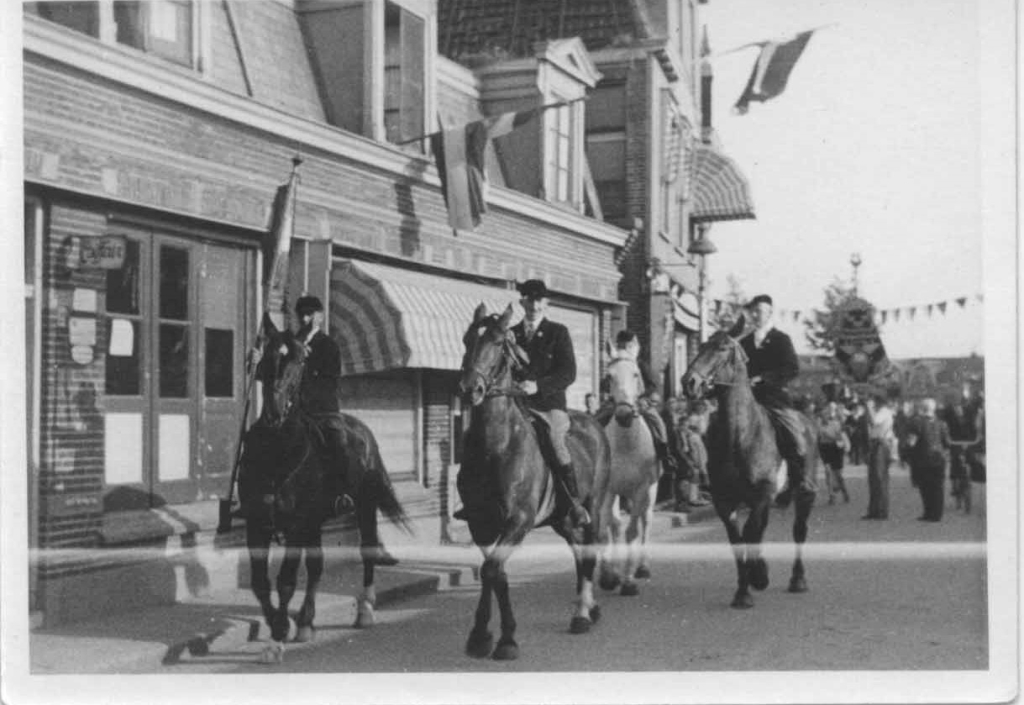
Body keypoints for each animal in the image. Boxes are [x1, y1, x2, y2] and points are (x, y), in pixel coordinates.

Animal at [238, 317, 411, 664]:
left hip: (363, 506)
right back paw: (306, 622)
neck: (277, 451)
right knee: (316, 567)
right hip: (314, 522)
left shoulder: (294, 526)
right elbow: (261, 583)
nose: (274, 412)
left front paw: (277, 637)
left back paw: (365, 609)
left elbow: (286, 581)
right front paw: (280, 627)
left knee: (367, 550)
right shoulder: (257, 525)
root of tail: (362, 429)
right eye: (266, 360)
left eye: (299, 362)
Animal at [460, 303, 610, 659]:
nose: (470, 389)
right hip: (561, 518)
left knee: (589, 552)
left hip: (593, 507)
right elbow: (493, 572)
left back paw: (582, 614)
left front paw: (505, 639)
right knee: (578, 550)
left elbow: (492, 570)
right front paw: (482, 635)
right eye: (466, 340)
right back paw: (589, 607)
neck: (495, 446)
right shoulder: (479, 523)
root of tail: (594, 422)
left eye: (498, 341)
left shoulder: (518, 520)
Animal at [593, 352, 663, 594]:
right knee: (615, 523)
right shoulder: (607, 489)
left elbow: (632, 531)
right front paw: (608, 576)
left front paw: (628, 581)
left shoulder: (641, 489)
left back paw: (642, 567)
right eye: (609, 377)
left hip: (651, 491)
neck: (626, 444)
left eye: (635, 374)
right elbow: (606, 528)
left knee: (646, 520)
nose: (623, 414)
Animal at [679, 317, 815, 606]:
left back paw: (797, 579)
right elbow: (738, 540)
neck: (740, 436)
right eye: (702, 345)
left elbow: (751, 532)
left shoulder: (762, 494)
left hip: (804, 493)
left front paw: (758, 576)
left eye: (722, 348)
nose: (689, 382)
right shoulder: (725, 501)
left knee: (799, 530)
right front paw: (743, 591)